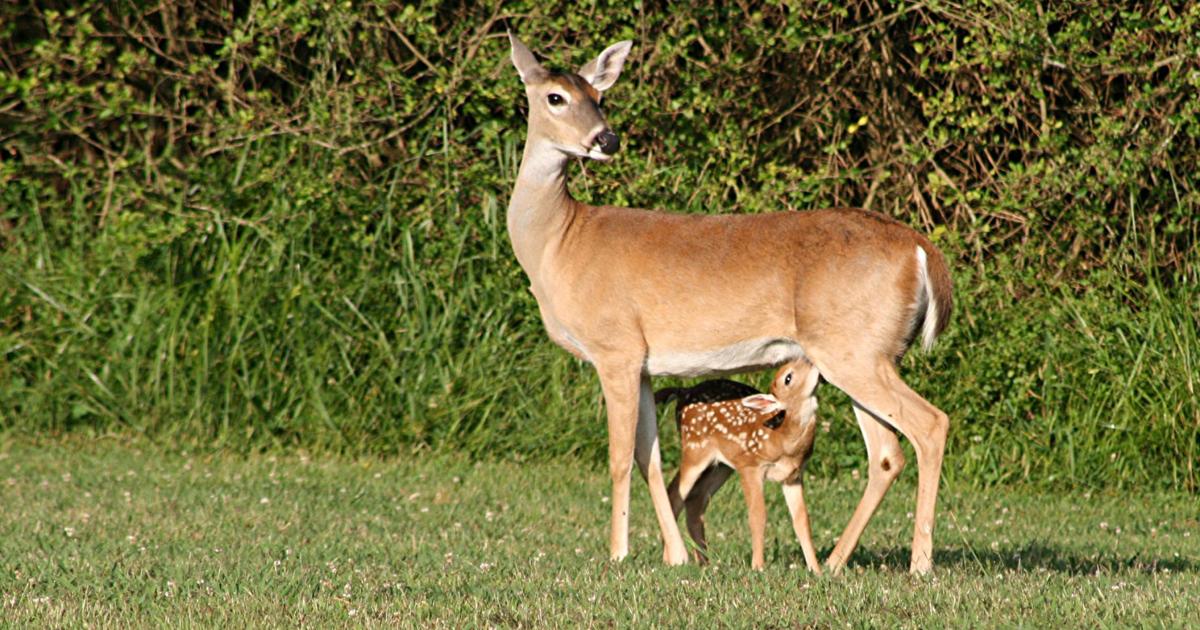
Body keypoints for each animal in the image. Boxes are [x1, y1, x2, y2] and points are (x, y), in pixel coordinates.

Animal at [658, 360, 823, 571]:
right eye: (788, 377)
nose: (810, 360)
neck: (781, 439)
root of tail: (683, 391)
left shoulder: (793, 476)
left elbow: (802, 520)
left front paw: (816, 570)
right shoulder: (750, 465)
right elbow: (757, 516)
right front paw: (758, 567)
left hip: (721, 466)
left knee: (696, 500)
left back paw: (704, 561)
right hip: (695, 450)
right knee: (674, 494)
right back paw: (671, 560)